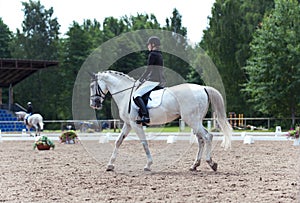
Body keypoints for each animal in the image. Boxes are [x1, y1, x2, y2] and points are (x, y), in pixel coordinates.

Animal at [89, 70, 232, 172]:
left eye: (92, 86)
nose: (94, 104)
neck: (125, 94)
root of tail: (203, 88)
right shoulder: (128, 124)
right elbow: (118, 142)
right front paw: (110, 165)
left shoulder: (135, 124)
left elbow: (144, 143)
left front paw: (148, 165)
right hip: (194, 120)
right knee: (201, 139)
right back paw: (194, 165)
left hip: (192, 120)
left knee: (208, 136)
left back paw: (211, 163)